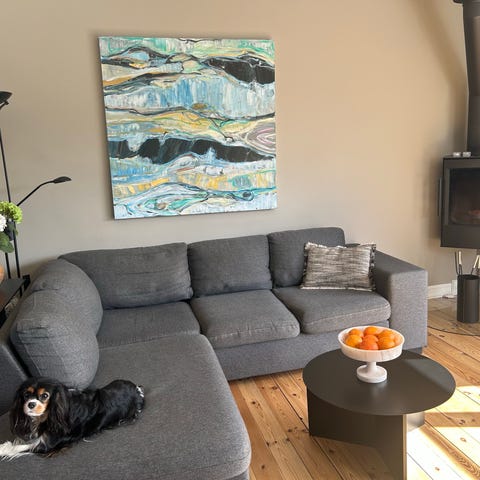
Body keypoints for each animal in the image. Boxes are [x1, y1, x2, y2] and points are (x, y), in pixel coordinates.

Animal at [0, 377, 145, 459]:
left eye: (45, 396)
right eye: (26, 395)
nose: (30, 404)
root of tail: (137, 390)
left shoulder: (48, 445)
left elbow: (23, 446)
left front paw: (3, 449)